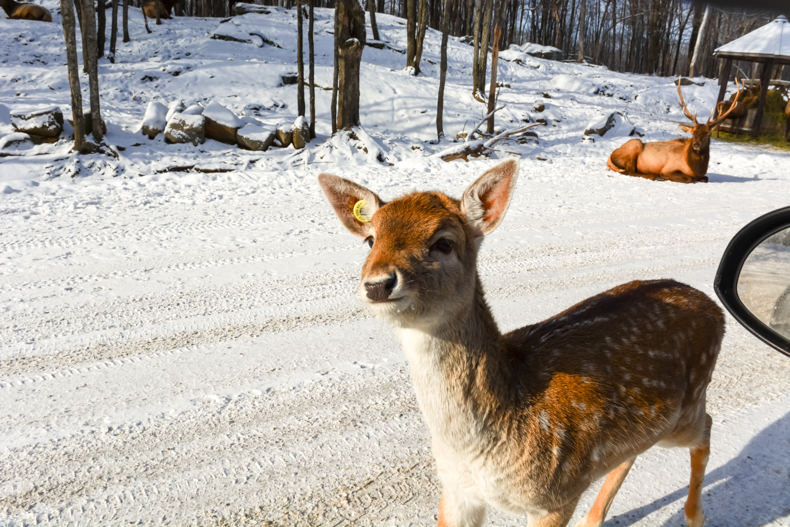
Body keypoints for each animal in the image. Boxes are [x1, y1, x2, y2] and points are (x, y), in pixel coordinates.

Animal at [318, 160, 728, 527]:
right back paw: (593, 520)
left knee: (707, 428)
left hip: (685, 411)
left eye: (443, 243)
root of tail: (714, 307)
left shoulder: (556, 494)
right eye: (370, 239)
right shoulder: (456, 489)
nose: (377, 283)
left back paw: (695, 517)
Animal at [608, 79, 744, 184]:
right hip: (635, 144)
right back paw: (654, 175)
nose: (696, 145)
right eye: (693, 133)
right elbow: (689, 178)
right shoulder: (668, 168)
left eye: (708, 133)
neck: (696, 168)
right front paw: (663, 176)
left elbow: (705, 178)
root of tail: (609, 158)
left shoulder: (702, 175)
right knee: (629, 171)